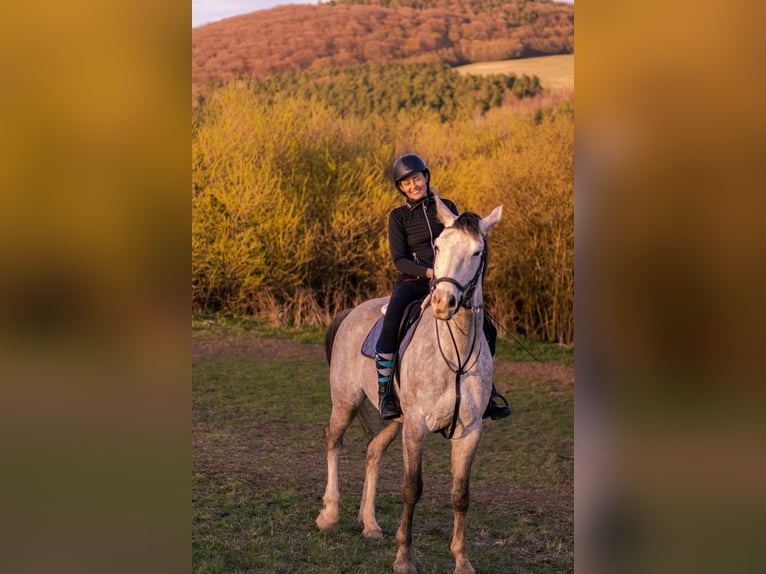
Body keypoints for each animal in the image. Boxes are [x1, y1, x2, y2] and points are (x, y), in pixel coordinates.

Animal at [316, 194, 503, 574]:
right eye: (439, 245)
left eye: (477, 251)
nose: (443, 302)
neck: (455, 354)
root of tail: (351, 312)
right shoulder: (416, 426)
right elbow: (411, 488)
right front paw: (404, 558)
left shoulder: (470, 431)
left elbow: (461, 495)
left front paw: (462, 560)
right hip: (346, 402)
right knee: (333, 440)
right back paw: (329, 514)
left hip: (393, 418)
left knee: (373, 451)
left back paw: (370, 524)